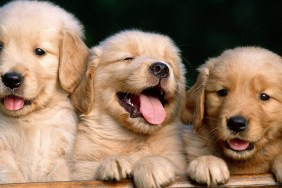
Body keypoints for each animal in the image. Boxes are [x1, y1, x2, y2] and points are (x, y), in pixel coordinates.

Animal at [0, 0, 88, 182]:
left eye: (39, 51)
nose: (11, 79)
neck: (32, 120)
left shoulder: (63, 153)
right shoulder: (3, 151)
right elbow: (11, 176)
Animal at [70, 30, 187, 187]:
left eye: (169, 63)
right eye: (128, 58)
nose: (161, 68)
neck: (132, 137)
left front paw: (151, 166)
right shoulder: (78, 169)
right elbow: (88, 168)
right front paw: (113, 162)